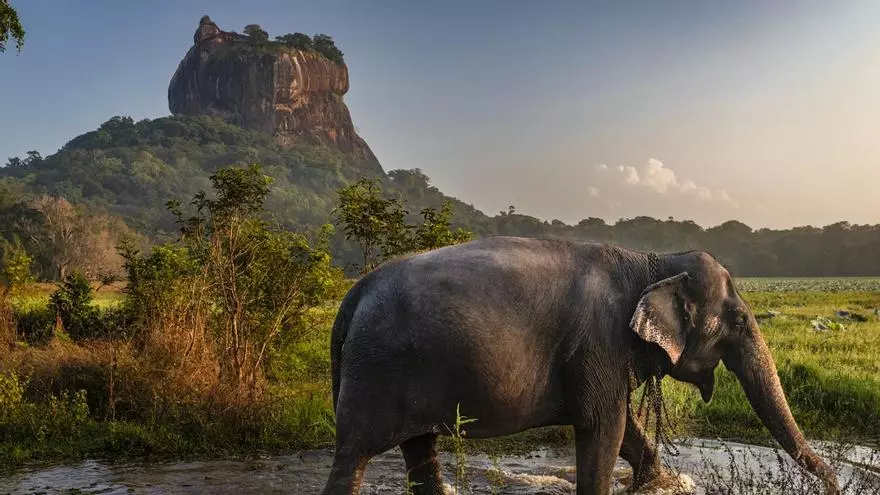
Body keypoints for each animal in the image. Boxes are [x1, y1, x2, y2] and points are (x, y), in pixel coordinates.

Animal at [320, 236, 839, 494]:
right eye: (739, 320)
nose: (835, 484)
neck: (651, 262)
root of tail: (353, 296)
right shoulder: (599, 343)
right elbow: (604, 426)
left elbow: (626, 427)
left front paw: (660, 483)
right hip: (376, 371)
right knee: (353, 455)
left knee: (419, 450)